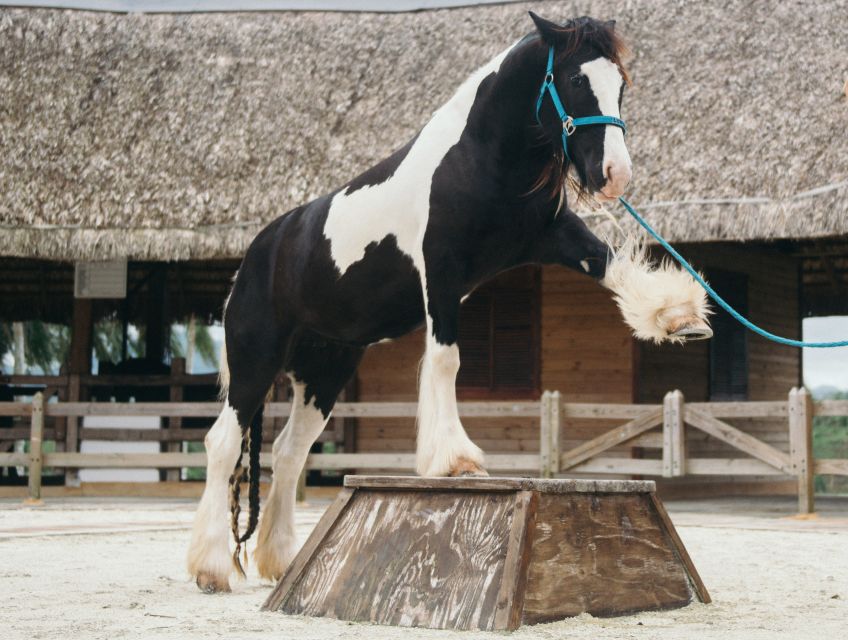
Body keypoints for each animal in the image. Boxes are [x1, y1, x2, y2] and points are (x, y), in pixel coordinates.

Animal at [187, 13, 708, 596]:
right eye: (576, 79)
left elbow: (613, 265)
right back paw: (211, 567)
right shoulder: (441, 271)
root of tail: (257, 254)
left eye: (620, 85)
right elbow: (446, 360)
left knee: (287, 452)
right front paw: (454, 459)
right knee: (223, 443)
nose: (615, 175)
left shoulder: (553, 236)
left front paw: (677, 316)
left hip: (323, 372)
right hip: (256, 359)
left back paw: (279, 560)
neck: (478, 158)